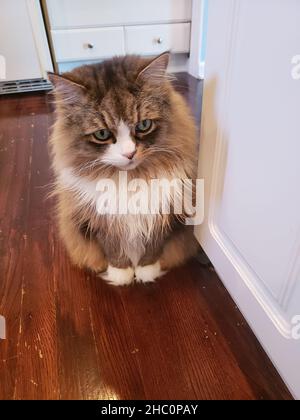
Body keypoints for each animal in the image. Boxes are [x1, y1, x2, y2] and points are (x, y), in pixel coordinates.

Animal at [48, 53, 199, 286]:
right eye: (102, 134)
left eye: (144, 125)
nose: (129, 154)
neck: (130, 179)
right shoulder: (99, 220)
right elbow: (113, 249)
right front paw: (121, 275)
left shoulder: (164, 212)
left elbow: (153, 246)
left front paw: (146, 271)